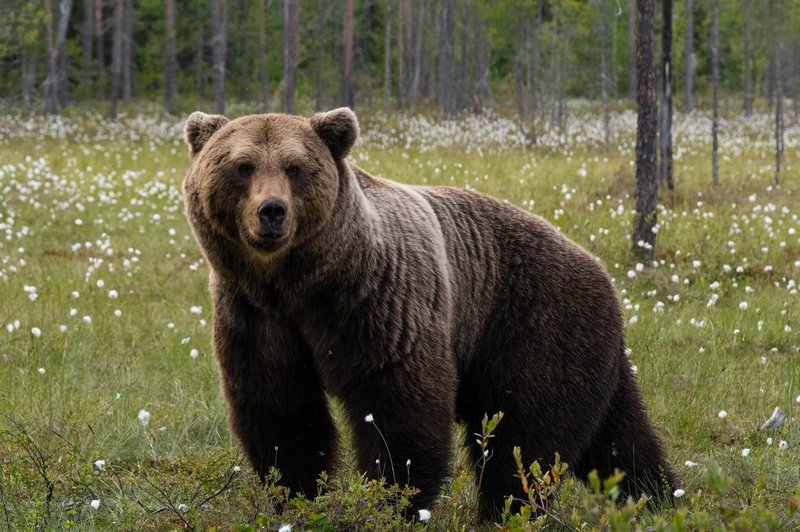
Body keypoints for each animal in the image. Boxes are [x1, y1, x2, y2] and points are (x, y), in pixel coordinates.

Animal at [181, 107, 676, 520]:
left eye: (295, 168)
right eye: (242, 166)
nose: (272, 211)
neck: (301, 284)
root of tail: (604, 273)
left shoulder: (380, 303)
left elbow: (400, 408)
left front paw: (394, 501)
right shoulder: (254, 315)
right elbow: (280, 408)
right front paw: (298, 495)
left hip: (536, 323)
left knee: (526, 440)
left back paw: (503, 512)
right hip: (587, 352)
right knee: (620, 440)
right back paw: (661, 497)